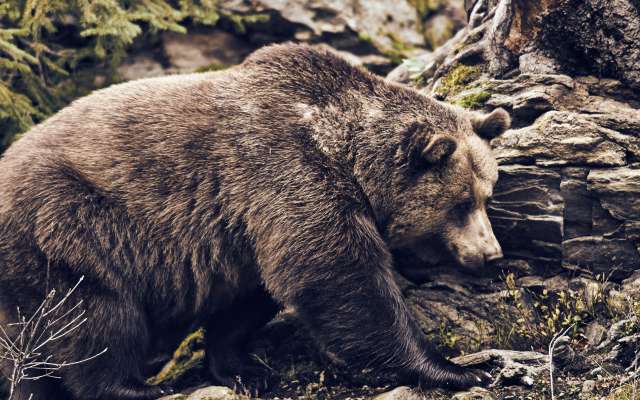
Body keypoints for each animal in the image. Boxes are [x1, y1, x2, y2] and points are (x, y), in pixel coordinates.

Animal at [0, 43, 510, 400]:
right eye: (460, 203)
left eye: (487, 194)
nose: (491, 254)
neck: (345, 150)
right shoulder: (285, 170)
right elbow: (340, 277)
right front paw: (460, 368)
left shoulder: (244, 229)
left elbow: (250, 296)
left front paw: (245, 368)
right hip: (66, 223)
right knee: (95, 314)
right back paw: (135, 384)